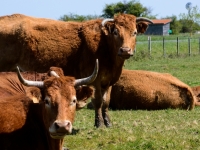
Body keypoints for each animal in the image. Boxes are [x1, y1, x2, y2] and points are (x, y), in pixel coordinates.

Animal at [0, 13, 152, 127]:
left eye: (134, 32)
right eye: (115, 32)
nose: (125, 50)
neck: (104, 45)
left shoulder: (109, 81)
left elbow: (106, 102)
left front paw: (108, 122)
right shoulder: (94, 80)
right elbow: (98, 101)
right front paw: (99, 123)